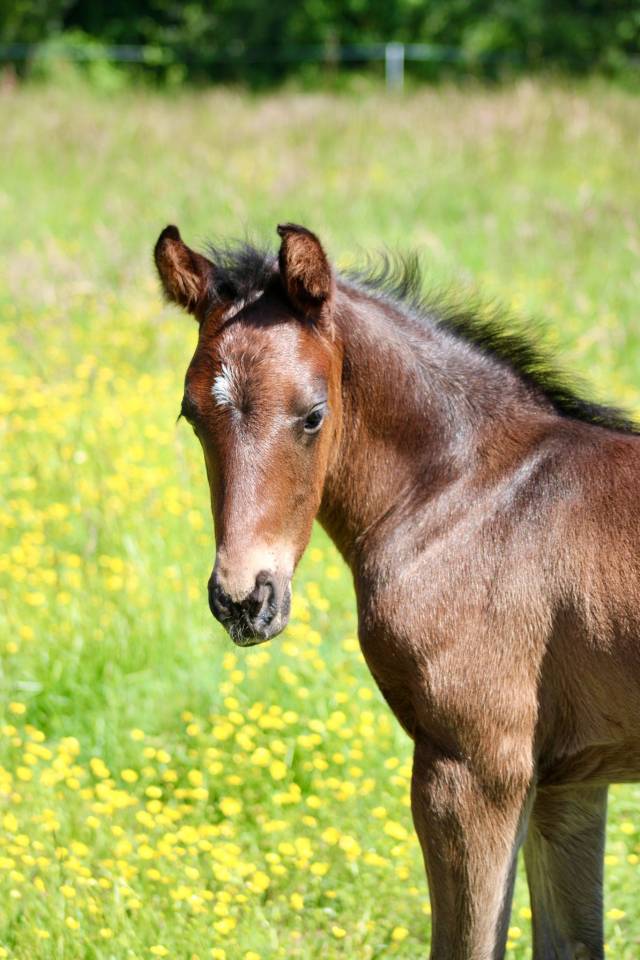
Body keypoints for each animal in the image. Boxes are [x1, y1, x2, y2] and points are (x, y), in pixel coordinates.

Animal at [154, 221, 640, 960]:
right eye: (192, 415)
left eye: (312, 416)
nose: (244, 599)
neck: (472, 495)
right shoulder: (572, 777)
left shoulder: (477, 769)